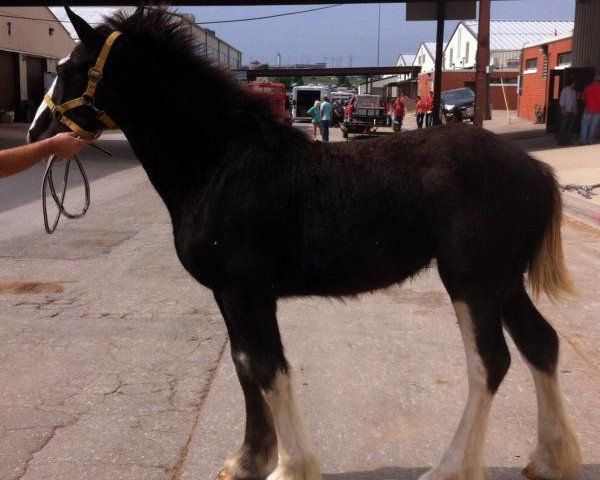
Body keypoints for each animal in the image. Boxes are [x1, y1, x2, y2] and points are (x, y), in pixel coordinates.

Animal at [29, 7, 580, 480]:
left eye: (72, 68)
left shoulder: (246, 293)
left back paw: (449, 468)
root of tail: (536, 170)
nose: (38, 129)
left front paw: (289, 465)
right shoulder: (229, 296)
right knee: (540, 344)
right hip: (503, 284)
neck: (221, 164)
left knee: (490, 363)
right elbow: (244, 365)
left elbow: (268, 368)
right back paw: (551, 458)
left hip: (472, 283)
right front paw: (248, 460)